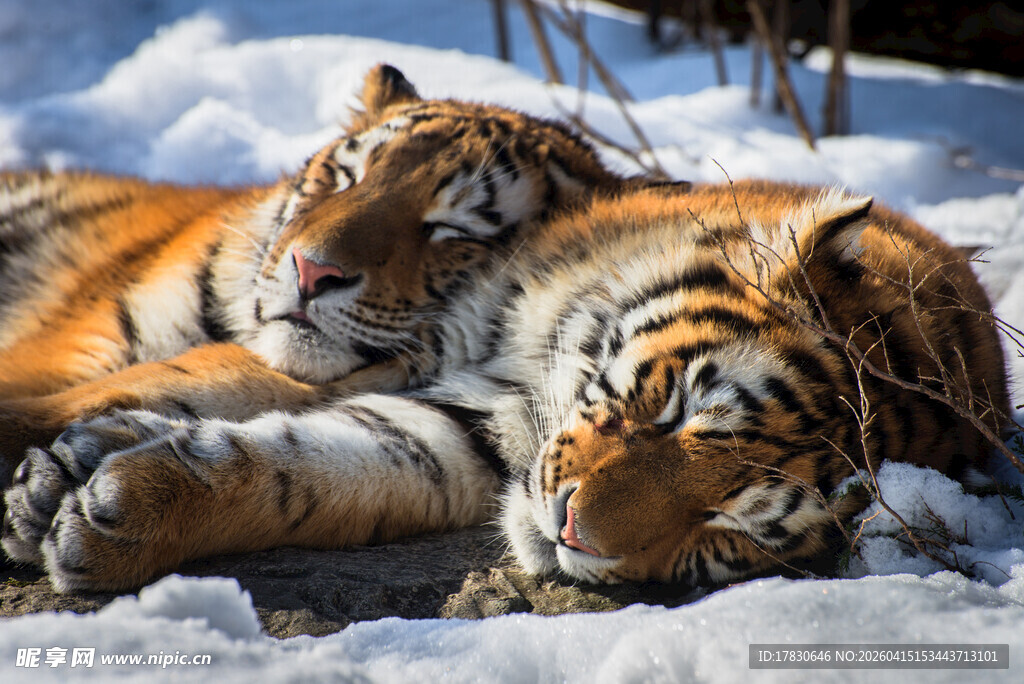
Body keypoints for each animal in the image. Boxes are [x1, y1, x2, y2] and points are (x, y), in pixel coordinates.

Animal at [3, 176, 1007, 592]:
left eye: (729, 532)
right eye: (677, 408)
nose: (571, 530)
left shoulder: (458, 436)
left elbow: (301, 470)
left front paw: (111, 515)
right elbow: (197, 383)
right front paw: (61, 464)